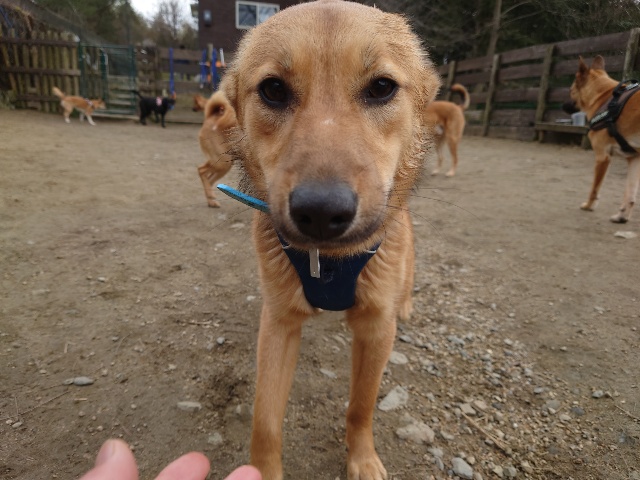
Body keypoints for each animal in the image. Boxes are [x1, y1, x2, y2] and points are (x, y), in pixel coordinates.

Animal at [219, 0, 440, 478]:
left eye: (381, 87)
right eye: (273, 90)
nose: (321, 212)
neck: (331, 259)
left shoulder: (376, 330)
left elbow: (361, 406)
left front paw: (362, 458)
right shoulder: (278, 324)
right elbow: (265, 419)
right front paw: (263, 470)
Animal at [568, 55, 640, 223]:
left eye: (570, 91)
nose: (563, 106)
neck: (603, 97)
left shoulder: (602, 157)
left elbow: (594, 189)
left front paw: (589, 205)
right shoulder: (634, 158)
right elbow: (630, 194)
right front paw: (622, 216)